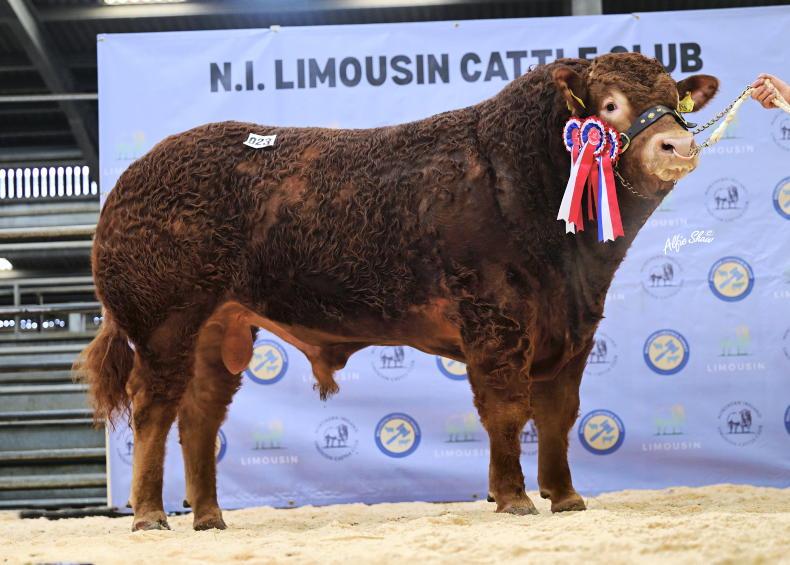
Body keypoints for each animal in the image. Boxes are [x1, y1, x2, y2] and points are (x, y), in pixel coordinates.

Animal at [77, 52, 718, 531]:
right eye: (609, 106)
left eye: (676, 102)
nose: (678, 146)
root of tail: (134, 176)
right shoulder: (495, 318)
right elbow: (507, 410)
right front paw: (513, 498)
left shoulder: (575, 328)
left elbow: (559, 415)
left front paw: (565, 498)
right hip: (163, 321)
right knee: (154, 408)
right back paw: (151, 515)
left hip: (221, 326)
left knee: (200, 415)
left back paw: (209, 517)